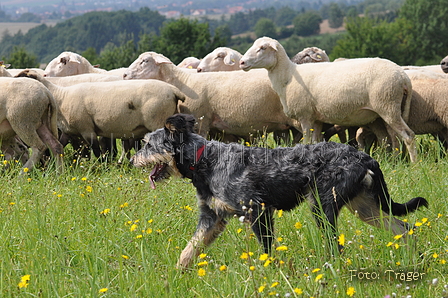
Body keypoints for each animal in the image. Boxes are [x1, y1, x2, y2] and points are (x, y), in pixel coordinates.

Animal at [15, 70, 184, 159]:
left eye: (23, 77)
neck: (61, 96)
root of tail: (174, 91)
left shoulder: (87, 129)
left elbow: (96, 150)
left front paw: (102, 166)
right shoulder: (69, 131)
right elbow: (59, 146)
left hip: (157, 121)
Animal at [130, 113, 428, 268]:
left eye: (148, 144)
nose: (132, 160)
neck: (205, 160)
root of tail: (365, 157)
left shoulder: (257, 211)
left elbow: (266, 250)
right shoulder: (211, 218)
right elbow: (189, 250)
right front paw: (177, 274)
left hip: (323, 206)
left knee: (336, 245)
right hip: (366, 208)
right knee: (405, 228)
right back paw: (413, 258)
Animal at [240, 37, 418, 163]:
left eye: (262, 48)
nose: (242, 62)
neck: (288, 76)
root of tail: (403, 77)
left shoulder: (305, 117)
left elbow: (306, 142)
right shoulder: (317, 119)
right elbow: (315, 143)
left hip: (388, 105)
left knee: (408, 136)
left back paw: (414, 165)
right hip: (384, 111)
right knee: (391, 138)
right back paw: (393, 160)